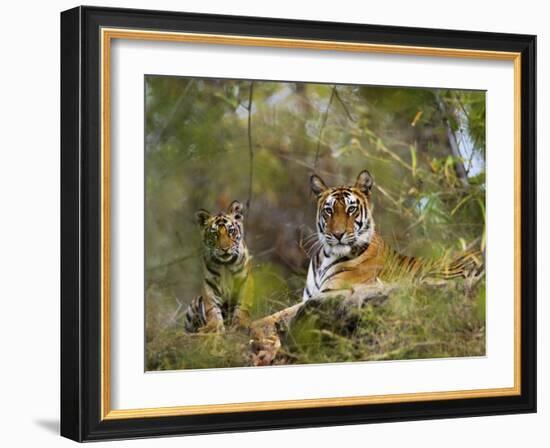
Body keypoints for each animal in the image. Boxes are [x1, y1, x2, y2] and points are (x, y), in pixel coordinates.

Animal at [185, 200, 254, 332]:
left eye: (231, 231)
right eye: (215, 234)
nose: (225, 249)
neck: (226, 265)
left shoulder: (245, 281)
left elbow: (242, 306)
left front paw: (241, 324)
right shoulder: (210, 285)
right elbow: (212, 308)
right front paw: (213, 326)